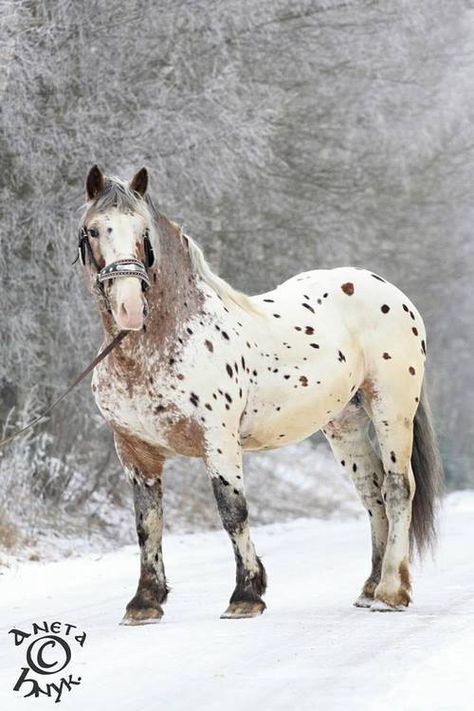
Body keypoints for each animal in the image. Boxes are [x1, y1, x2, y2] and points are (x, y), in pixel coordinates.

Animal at [78, 164, 444, 624]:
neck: (164, 341)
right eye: (93, 230)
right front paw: (144, 602)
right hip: (345, 425)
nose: (129, 308)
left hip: (391, 409)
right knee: (372, 493)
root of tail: (391, 293)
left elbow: (233, 511)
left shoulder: (218, 440)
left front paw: (246, 595)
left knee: (397, 489)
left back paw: (391, 593)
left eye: (143, 232)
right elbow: (148, 524)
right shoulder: (134, 451)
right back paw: (370, 588)